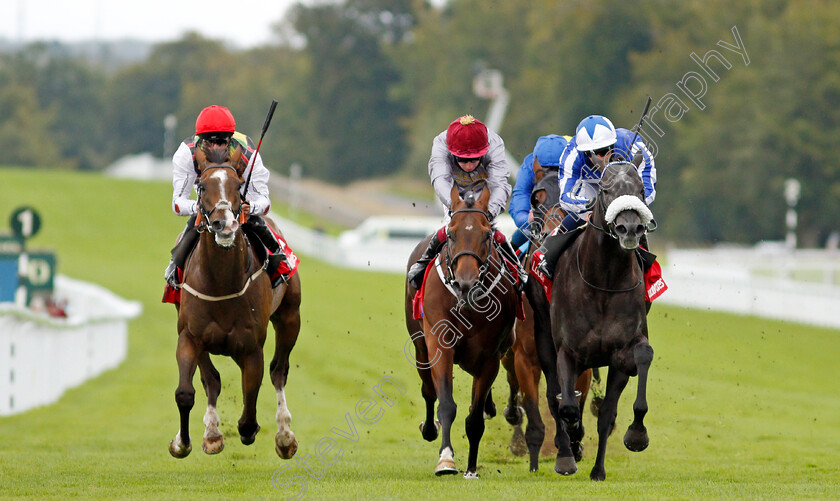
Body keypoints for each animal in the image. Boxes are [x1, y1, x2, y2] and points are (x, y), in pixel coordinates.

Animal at [167, 143, 302, 458]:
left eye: (239, 186)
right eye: (202, 186)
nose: (224, 224)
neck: (220, 284)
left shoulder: (251, 347)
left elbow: (250, 403)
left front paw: (251, 430)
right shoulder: (190, 336)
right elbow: (188, 391)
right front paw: (184, 441)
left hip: (290, 316)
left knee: (279, 371)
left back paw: (284, 436)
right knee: (211, 380)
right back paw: (212, 433)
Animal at [406, 183, 520, 476]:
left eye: (486, 234)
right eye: (451, 233)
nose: (466, 283)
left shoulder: (489, 357)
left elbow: (475, 419)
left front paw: (471, 468)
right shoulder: (440, 345)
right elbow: (445, 404)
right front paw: (446, 459)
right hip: (420, 347)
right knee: (428, 390)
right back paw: (429, 428)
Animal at [502, 166, 592, 470]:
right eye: (536, 198)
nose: (551, 232)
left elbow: (574, 397)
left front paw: (574, 442)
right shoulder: (526, 358)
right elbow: (539, 403)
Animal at [540, 161, 656, 480]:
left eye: (641, 190)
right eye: (605, 190)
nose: (630, 228)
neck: (604, 280)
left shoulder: (622, 355)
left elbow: (641, 358)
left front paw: (636, 435)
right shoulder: (567, 351)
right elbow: (567, 406)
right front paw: (571, 442)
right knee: (555, 397)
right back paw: (566, 454)